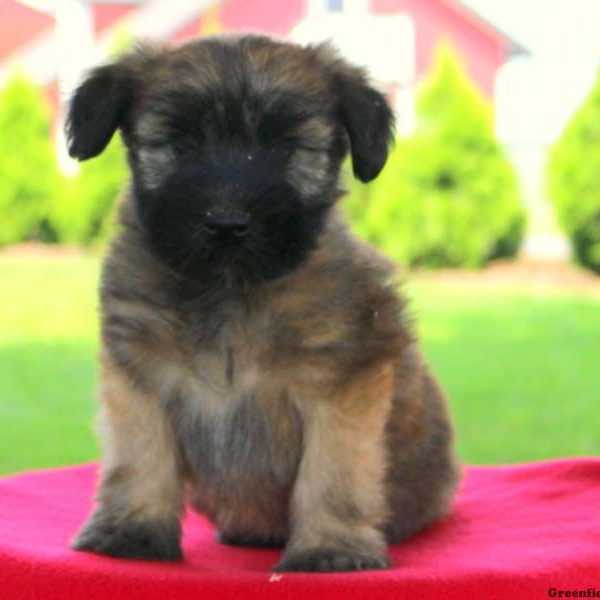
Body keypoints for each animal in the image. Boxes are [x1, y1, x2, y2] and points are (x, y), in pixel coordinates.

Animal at [67, 34, 460, 572]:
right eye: (181, 143)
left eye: (284, 146)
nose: (227, 223)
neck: (231, 293)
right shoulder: (140, 379)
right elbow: (140, 458)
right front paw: (133, 532)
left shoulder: (341, 387)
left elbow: (334, 472)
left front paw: (331, 548)